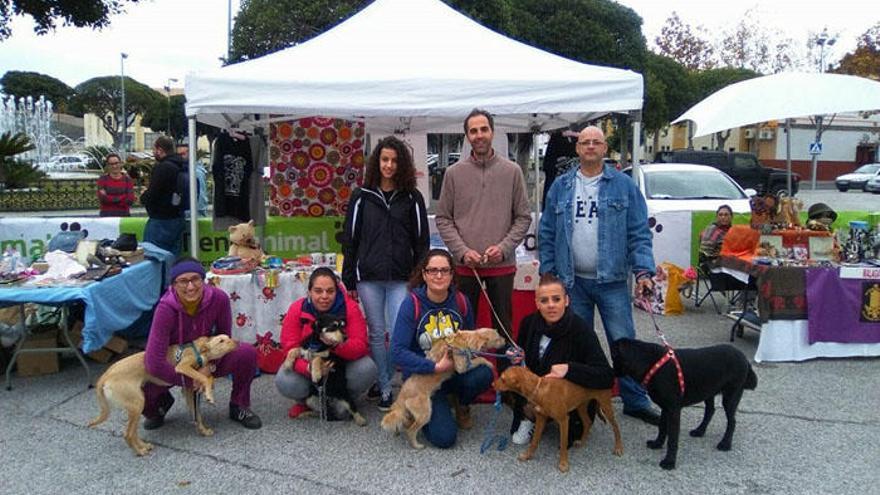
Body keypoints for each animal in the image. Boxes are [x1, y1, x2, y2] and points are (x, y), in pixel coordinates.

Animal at [88, 336, 237, 460]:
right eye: (221, 341)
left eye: (228, 337)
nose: (237, 342)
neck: (200, 350)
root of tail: (105, 375)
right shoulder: (182, 367)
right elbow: (204, 377)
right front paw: (209, 395)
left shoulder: (188, 390)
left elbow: (198, 412)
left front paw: (203, 430)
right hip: (137, 403)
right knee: (128, 434)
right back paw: (140, 451)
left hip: (136, 405)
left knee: (132, 433)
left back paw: (144, 446)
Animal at [496, 366, 624, 474]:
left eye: (502, 378)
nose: (493, 384)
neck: (540, 389)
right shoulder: (541, 418)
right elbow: (534, 441)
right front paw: (527, 455)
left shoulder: (563, 420)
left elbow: (563, 444)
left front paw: (563, 464)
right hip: (581, 405)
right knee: (587, 422)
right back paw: (581, 442)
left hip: (605, 405)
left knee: (616, 426)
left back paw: (618, 448)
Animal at [612, 340, 756, 470]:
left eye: (614, 357)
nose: (612, 372)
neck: (653, 364)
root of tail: (744, 357)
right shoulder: (665, 408)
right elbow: (662, 427)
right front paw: (657, 444)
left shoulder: (674, 410)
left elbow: (672, 438)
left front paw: (669, 462)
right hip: (708, 392)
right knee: (710, 411)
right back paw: (700, 431)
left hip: (731, 396)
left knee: (732, 421)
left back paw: (725, 443)